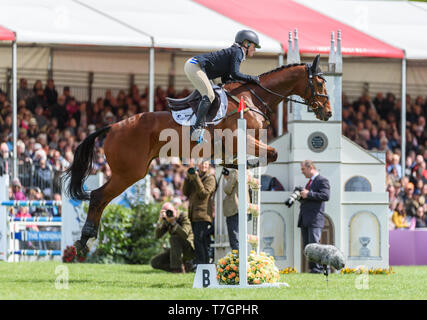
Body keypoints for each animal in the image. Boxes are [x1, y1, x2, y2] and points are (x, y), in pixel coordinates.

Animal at [64, 54, 332, 255]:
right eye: (320, 83)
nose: (327, 113)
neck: (252, 98)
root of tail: (112, 127)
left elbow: (264, 155)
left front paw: (234, 166)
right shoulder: (241, 139)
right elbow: (273, 153)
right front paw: (247, 164)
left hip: (129, 173)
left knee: (101, 199)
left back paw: (86, 241)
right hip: (129, 173)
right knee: (98, 197)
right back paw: (84, 241)